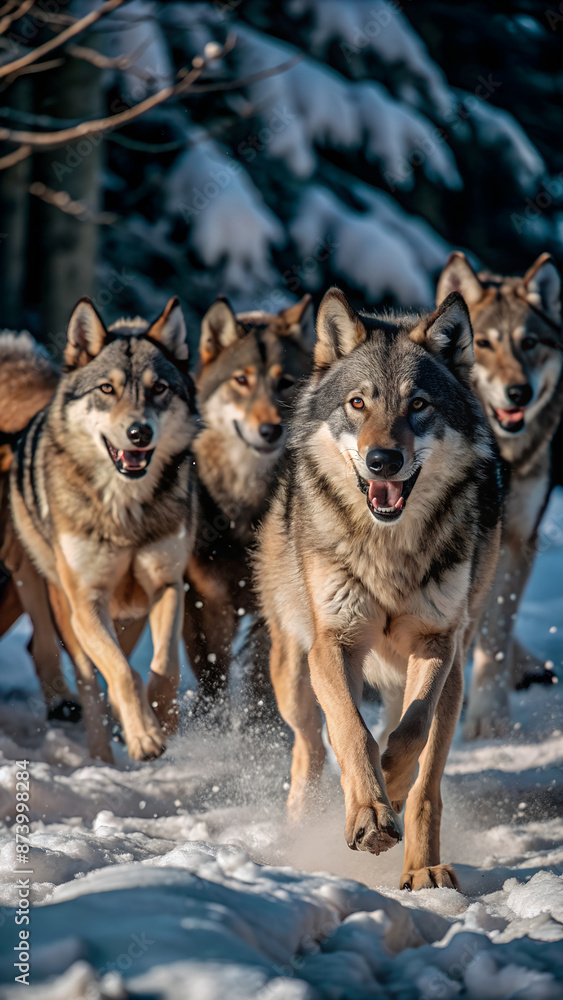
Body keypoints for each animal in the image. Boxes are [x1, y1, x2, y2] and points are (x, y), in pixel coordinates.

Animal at [9, 297, 198, 763]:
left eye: (159, 389)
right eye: (107, 390)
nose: (139, 432)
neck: (125, 510)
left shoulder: (168, 585)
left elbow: (164, 667)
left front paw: (161, 718)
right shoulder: (87, 602)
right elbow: (122, 674)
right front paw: (145, 736)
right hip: (57, 605)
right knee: (87, 682)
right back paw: (102, 758)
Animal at [184, 295, 314, 717]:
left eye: (285, 383)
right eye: (241, 380)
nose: (270, 429)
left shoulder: (270, 604)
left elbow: (260, 676)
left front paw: (259, 728)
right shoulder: (205, 599)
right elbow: (213, 676)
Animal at [256, 287, 503, 890]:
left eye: (418, 405)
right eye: (357, 404)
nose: (382, 460)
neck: (389, 550)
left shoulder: (441, 647)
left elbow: (416, 751)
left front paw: (418, 857)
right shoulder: (335, 645)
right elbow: (351, 732)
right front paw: (368, 813)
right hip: (294, 671)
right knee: (310, 746)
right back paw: (302, 825)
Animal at [437, 252, 563, 737]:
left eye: (529, 343)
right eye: (486, 344)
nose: (519, 393)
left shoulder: (517, 539)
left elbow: (496, 633)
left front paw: (490, 717)